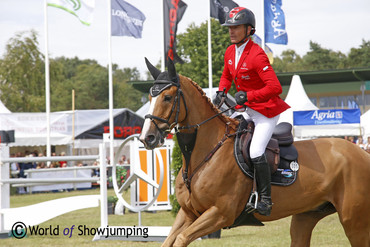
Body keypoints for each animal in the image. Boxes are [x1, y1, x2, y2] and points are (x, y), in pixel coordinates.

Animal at [139, 58, 370, 247]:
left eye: (167, 97)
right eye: (149, 98)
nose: (147, 138)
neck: (204, 154)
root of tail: (362, 154)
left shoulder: (220, 214)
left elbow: (180, 239)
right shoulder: (188, 213)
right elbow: (170, 240)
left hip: (353, 221)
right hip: (306, 216)